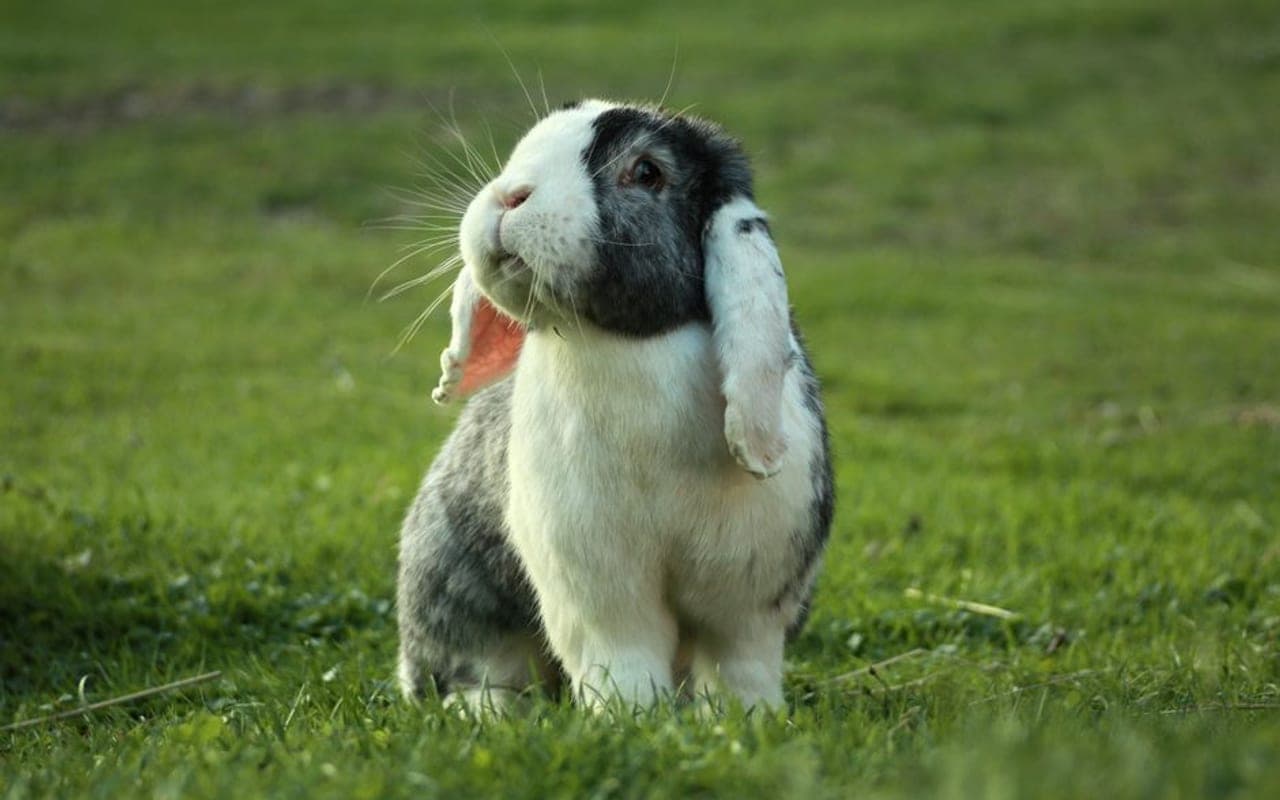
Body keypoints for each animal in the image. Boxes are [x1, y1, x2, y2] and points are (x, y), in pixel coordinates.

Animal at [396, 99, 834, 713]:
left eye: (647, 172)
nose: (510, 196)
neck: (628, 342)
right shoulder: (596, 583)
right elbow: (622, 659)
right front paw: (629, 719)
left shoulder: (749, 596)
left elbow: (740, 667)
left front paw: (746, 723)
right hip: (452, 587)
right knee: (474, 670)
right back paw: (490, 714)